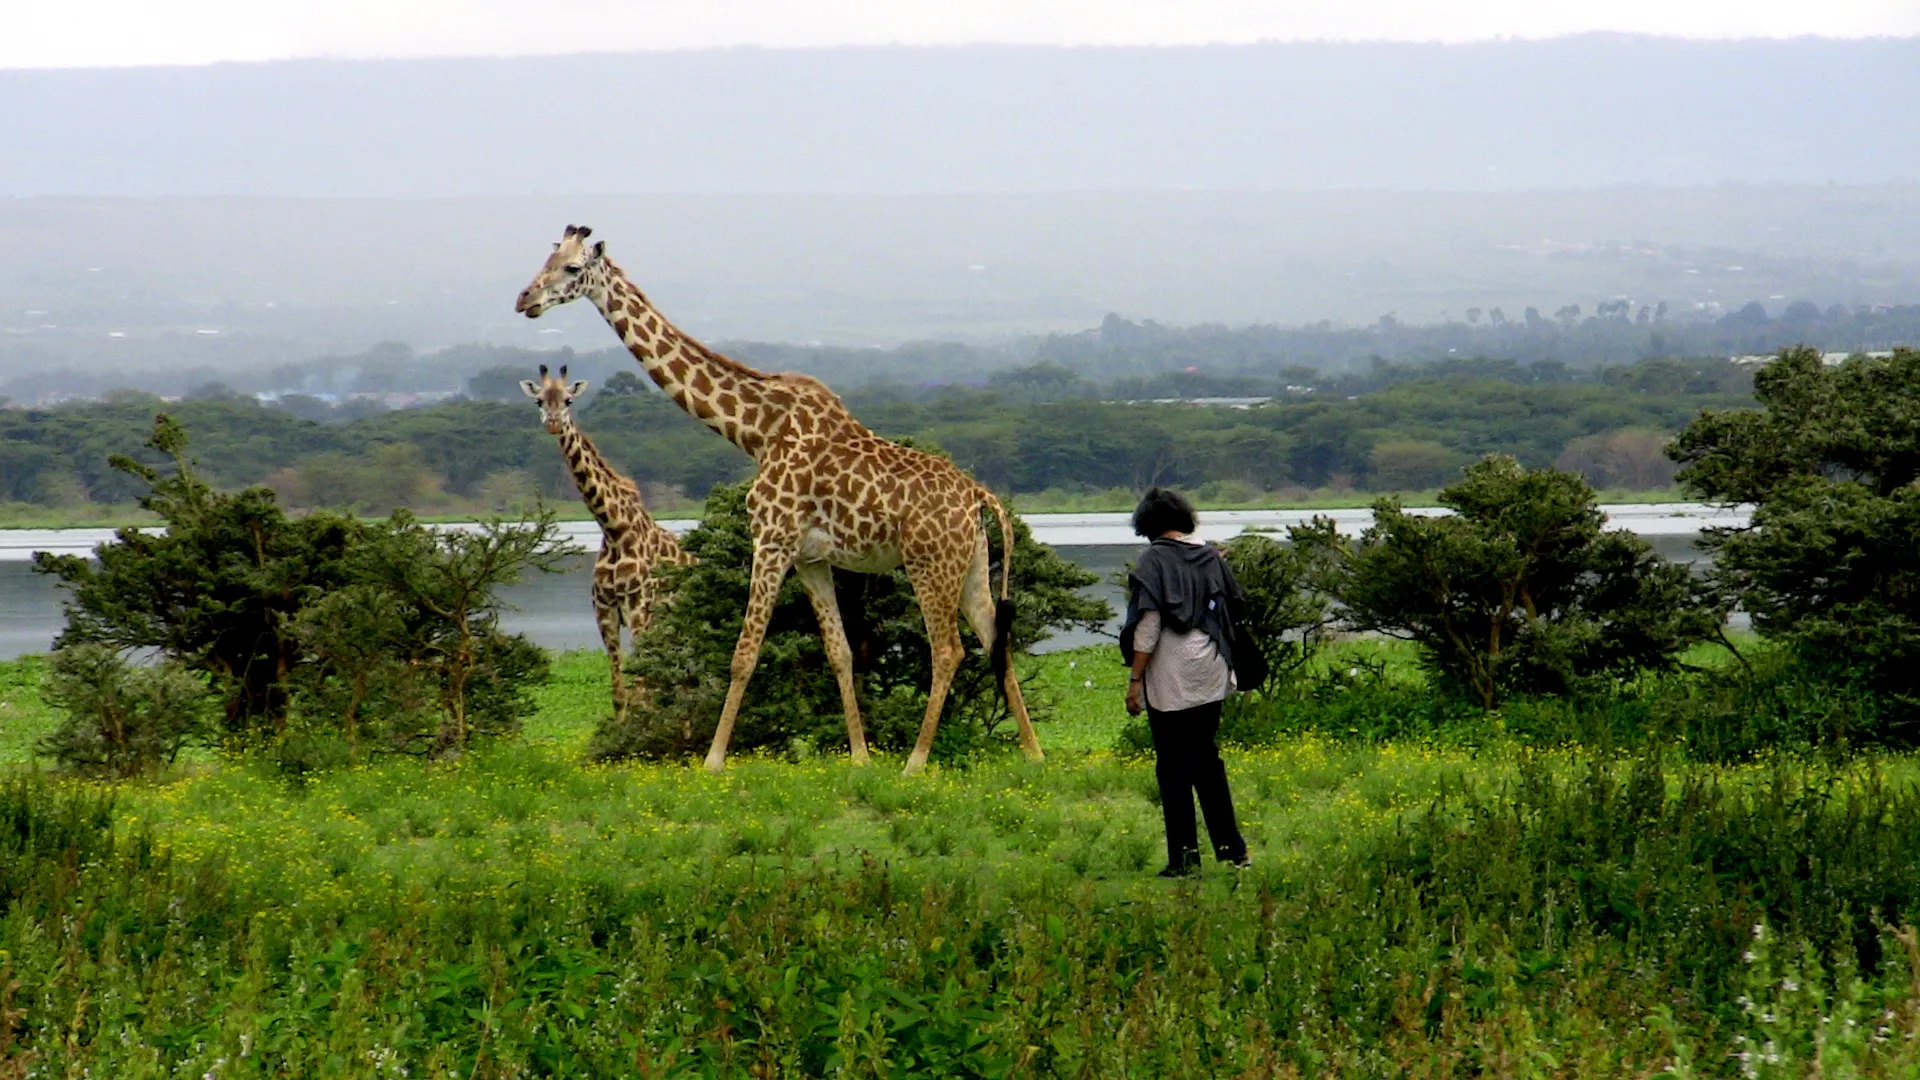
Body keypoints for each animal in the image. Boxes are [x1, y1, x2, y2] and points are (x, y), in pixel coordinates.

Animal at [522, 361, 695, 722]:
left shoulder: (639, 609)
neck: (614, 529)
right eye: (540, 400)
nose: (553, 423)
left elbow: (642, 691)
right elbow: (619, 691)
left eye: (569, 400)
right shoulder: (605, 612)